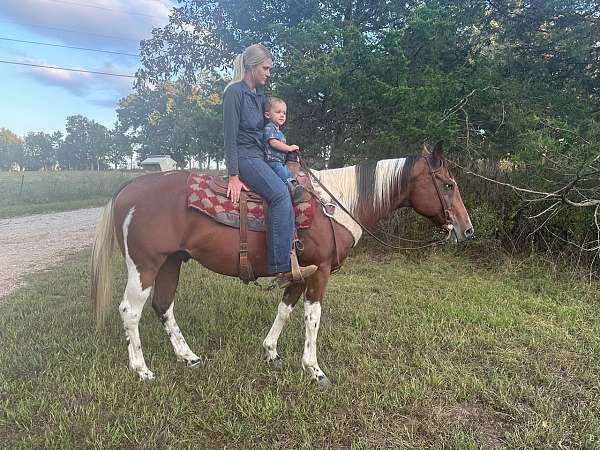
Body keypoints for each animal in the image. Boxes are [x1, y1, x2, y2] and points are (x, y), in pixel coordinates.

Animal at [90, 142, 474, 386]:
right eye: (448, 184)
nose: (467, 229)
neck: (335, 205)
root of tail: (129, 187)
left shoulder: (300, 272)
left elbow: (285, 309)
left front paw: (271, 352)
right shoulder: (320, 272)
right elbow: (312, 318)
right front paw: (314, 369)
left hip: (172, 261)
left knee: (163, 305)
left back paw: (188, 357)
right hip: (145, 266)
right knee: (130, 310)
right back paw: (141, 370)